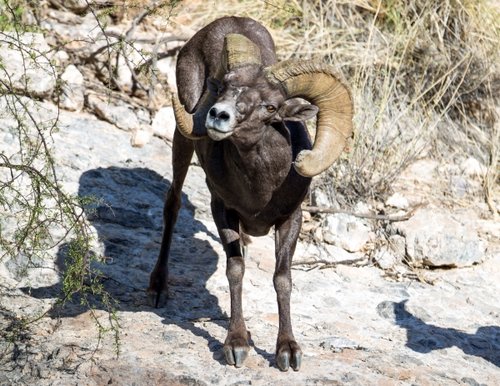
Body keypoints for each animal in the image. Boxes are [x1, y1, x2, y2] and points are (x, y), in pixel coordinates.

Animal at [146, 15, 354, 370]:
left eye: (270, 106)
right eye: (225, 88)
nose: (218, 115)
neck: (261, 189)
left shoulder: (290, 220)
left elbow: (282, 279)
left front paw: (287, 351)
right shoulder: (223, 210)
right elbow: (236, 270)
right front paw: (237, 344)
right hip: (182, 138)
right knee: (171, 205)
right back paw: (158, 288)